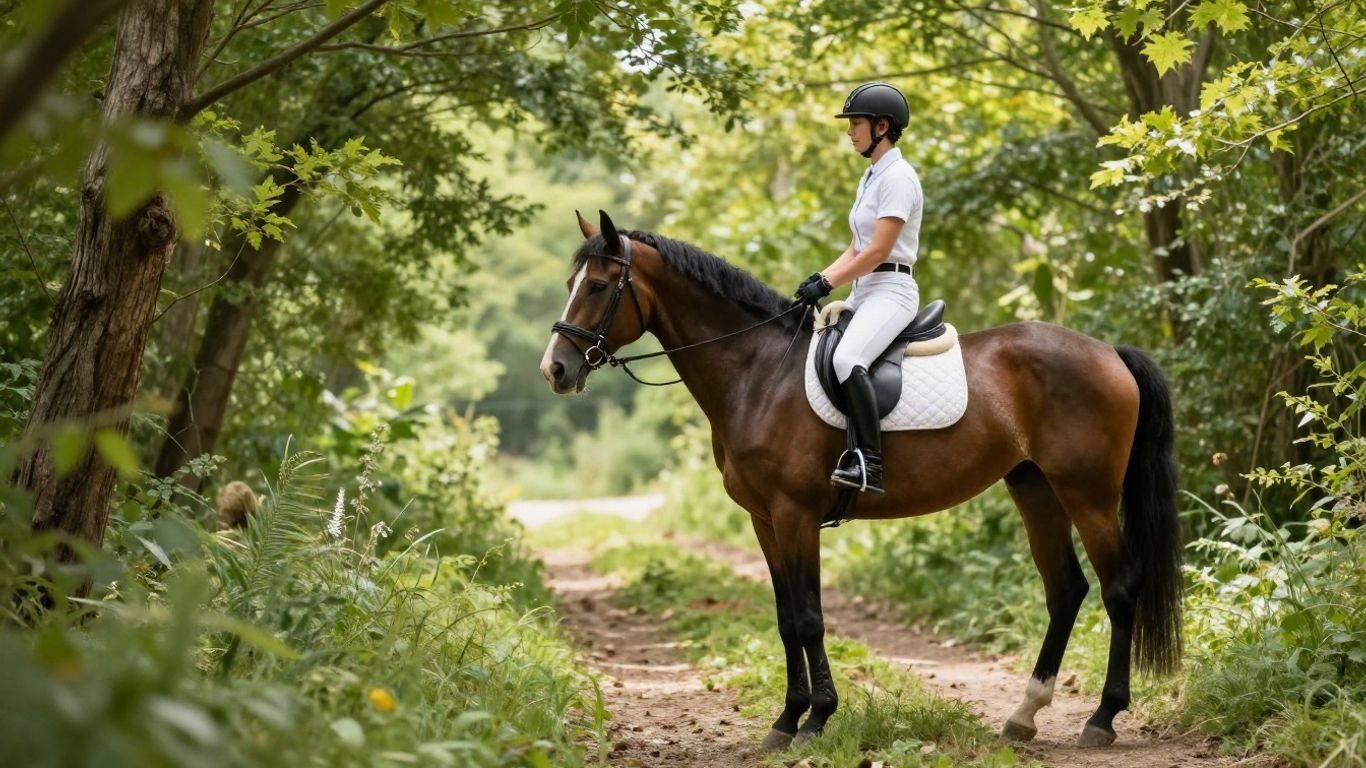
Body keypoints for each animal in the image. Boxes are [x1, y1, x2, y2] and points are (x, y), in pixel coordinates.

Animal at [540, 210, 1182, 751]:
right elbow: (785, 619)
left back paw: (1102, 718)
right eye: (571, 281)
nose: (556, 370)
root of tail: (1109, 352)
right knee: (1065, 590)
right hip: (1034, 487)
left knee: (1119, 587)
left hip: (1087, 493)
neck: (757, 373)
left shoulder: (795, 514)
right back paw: (1024, 716)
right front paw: (785, 721)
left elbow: (808, 617)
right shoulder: (765, 519)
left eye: (598, 287)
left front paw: (816, 720)